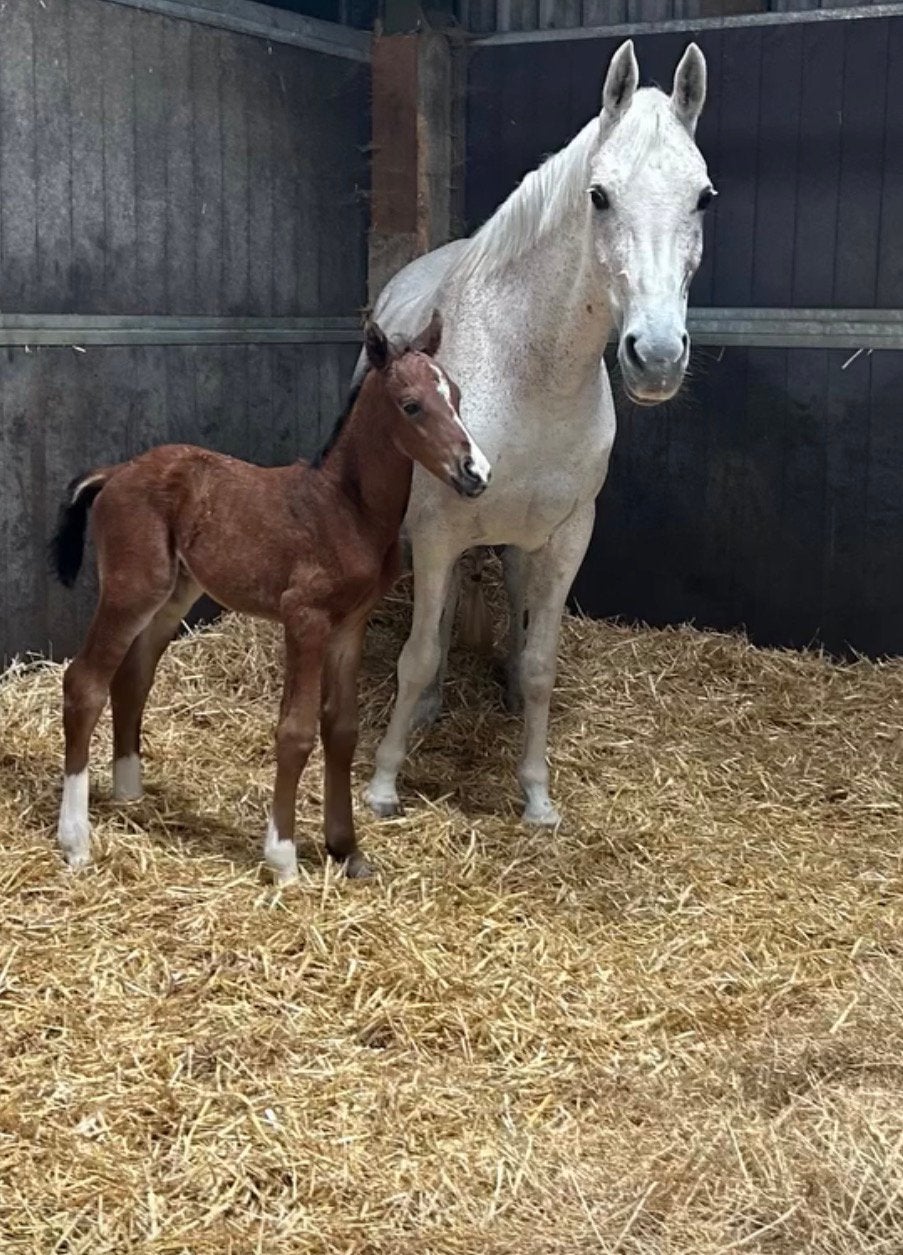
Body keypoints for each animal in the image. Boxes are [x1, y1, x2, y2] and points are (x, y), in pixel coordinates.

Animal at [49, 314, 491, 881]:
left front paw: (347, 849)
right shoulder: (305, 618)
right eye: (411, 405)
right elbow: (297, 730)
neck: (347, 509)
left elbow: (342, 728)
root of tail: (114, 472)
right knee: (84, 683)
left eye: (455, 395)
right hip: (132, 588)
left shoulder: (351, 623)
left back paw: (129, 793)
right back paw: (76, 840)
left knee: (133, 676)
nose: (476, 473)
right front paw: (282, 856)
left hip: (175, 593)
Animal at [361, 40, 714, 829]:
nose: (656, 356)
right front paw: (382, 783)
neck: (531, 375)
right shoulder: (438, 531)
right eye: (600, 196)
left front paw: (536, 795)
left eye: (702, 197)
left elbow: (540, 665)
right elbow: (417, 655)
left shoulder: (567, 537)